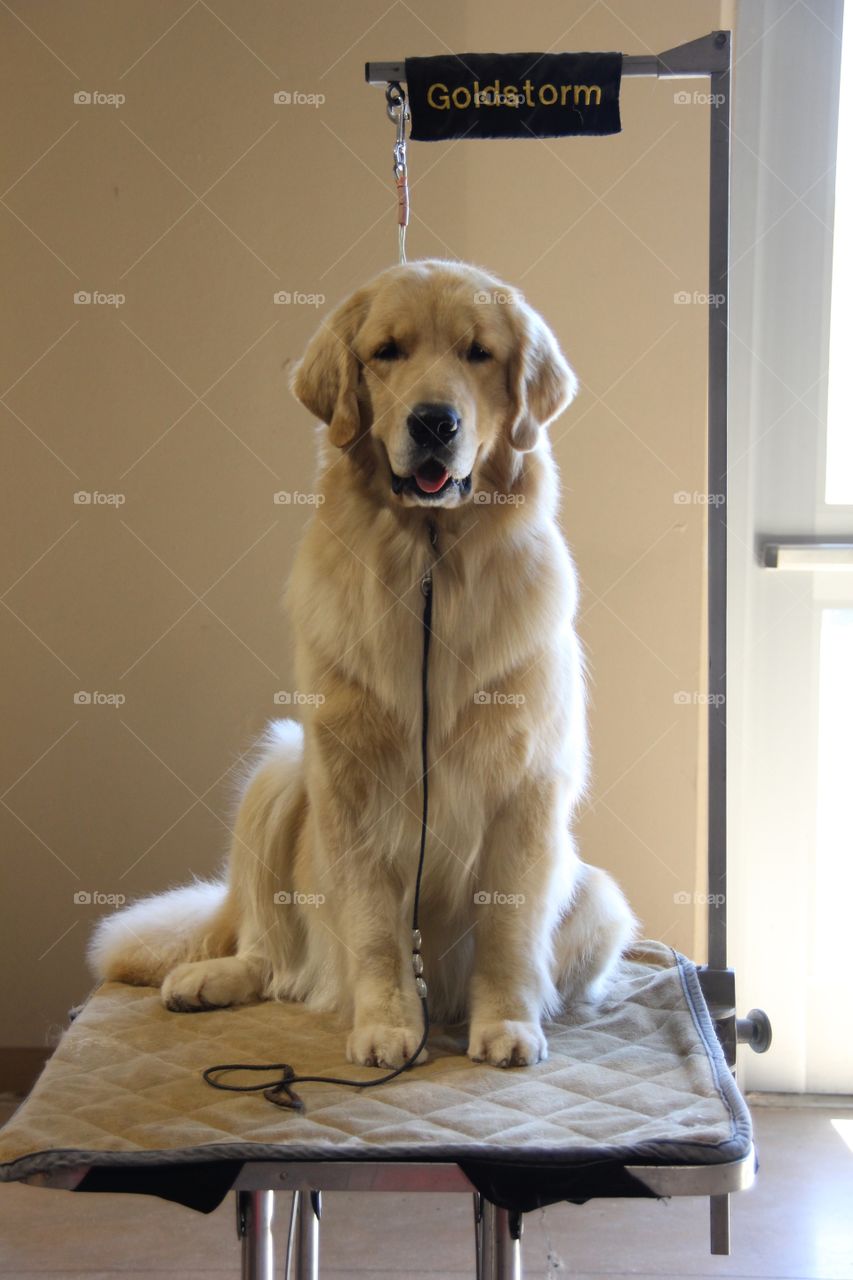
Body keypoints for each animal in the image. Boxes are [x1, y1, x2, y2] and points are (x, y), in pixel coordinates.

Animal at [89, 259, 635, 1070]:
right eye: (387, 352)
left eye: (479, 353)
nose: (434, 422)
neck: (431, 562)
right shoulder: (347, 779)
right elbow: (376, 926)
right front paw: (385, 1025)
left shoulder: (527, 786)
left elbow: (508, 931)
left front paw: (506, 1023)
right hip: (278, 775)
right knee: (268, 950)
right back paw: (211, 979)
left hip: (598, 898)